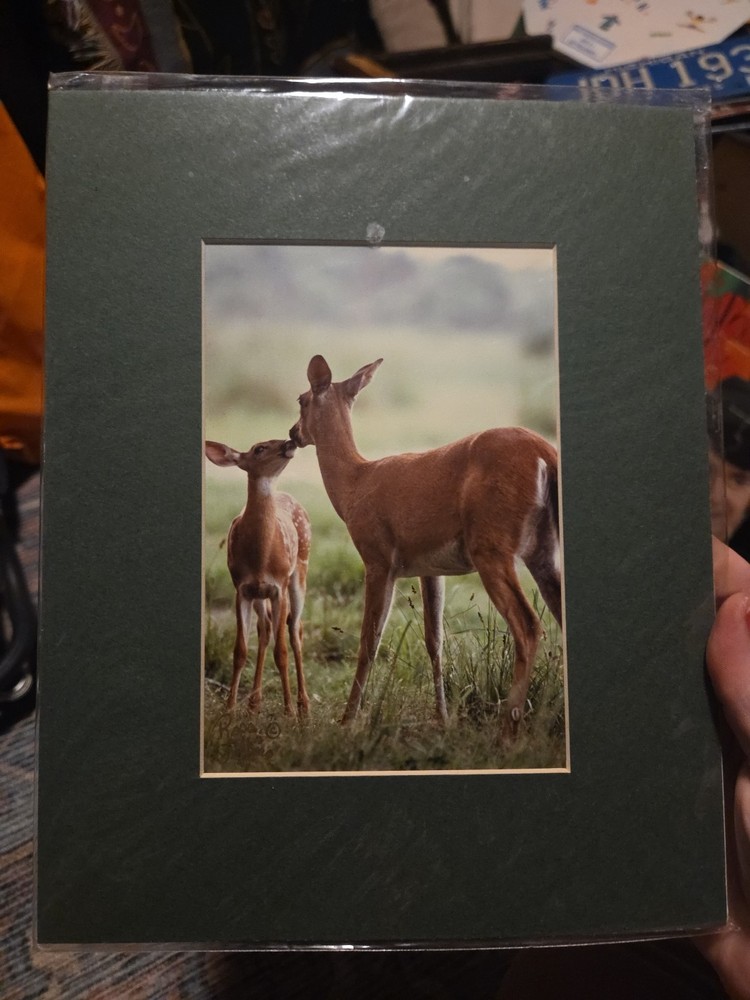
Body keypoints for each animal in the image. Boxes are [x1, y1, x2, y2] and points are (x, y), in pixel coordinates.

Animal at [204, 437, 311, 717]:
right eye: (259, 449)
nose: (289, 441)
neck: (260, 558)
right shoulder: (241, 588)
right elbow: (240, 651)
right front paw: (230, 709)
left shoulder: (278, 587)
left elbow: (281, 651)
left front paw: (288, 711)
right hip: (259, 595)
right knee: (265, 629)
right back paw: (254, 703)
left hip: (300, 570)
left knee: (295, 629)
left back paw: (303, 705)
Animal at [289, 356, 562, 736]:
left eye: (301, 399)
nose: (292, 434)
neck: (354, 486)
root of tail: (545, 454)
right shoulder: (430, 569)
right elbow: (435, 641)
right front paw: (442, 718)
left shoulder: (377, 558)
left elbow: (368, 641)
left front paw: (347, 720)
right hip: (543, 550)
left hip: (491, 545)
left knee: (528, 626)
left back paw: (508, 733)